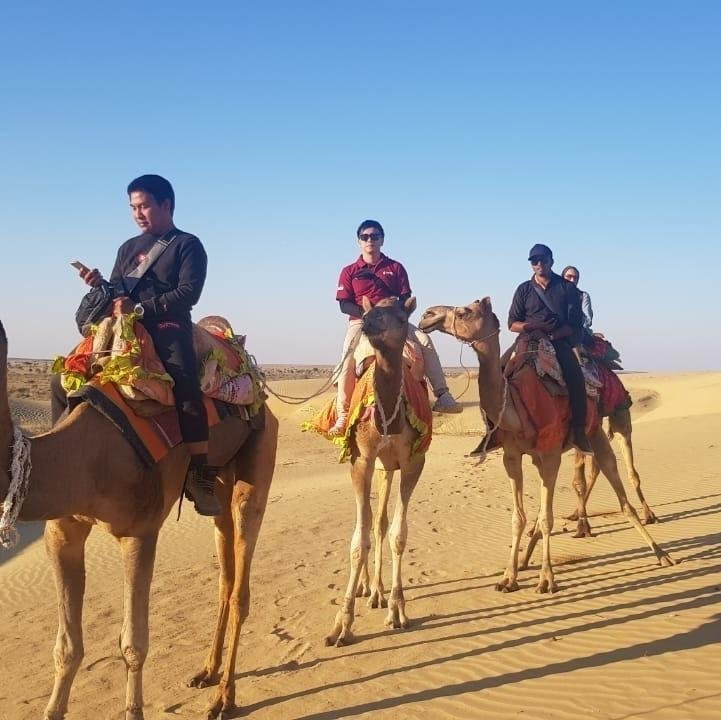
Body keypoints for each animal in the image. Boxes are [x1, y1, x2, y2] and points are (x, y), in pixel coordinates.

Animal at [0, 319, 277, 720]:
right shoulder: (62, 530)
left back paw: (224, 698)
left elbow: (133, 643)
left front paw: (134, 710)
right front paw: (52, 710)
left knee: (242, 577)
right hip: (221, 480)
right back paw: (207, 672)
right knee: (224, 570)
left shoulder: (140, 532)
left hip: (260, 450)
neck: (86, 456)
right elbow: (66, 647)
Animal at [325, 296, 427, 646]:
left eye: (401, 317)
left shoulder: (412, 462)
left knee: (380, 523)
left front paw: (397, 610)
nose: (368, 321)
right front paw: (341, 626)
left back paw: (378, 592)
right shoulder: (361, 460)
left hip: (388, 467)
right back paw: (366, 588)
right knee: (369, 522)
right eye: (369, 311)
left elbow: (397, 535)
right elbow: (359, 541)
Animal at [418, 299, 673, 594]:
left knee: (623, 481)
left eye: (464, 312)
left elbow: (548, 518)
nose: (426, 315)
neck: (516, 404)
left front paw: (546, 578)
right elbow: (520, 517)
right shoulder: (513, 456)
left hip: (607, 423)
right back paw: (532, 555)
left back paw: (659, 548)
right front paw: (508, 577)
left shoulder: (551, 454)